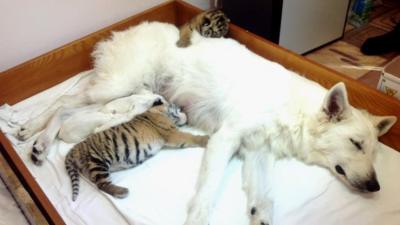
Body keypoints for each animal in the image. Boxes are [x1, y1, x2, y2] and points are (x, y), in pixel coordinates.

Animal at [17, 21, 396, 225]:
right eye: (356, 144)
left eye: (373, 153)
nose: (376, 187)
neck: (292, 108)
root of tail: (125, 31)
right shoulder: (226, 139)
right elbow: (207, 193)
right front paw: (198, 218)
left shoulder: (257, 152)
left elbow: (264, 198)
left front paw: (260, 215)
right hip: (117, 87)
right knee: (64, 103)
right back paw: (33, 134)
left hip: (122, 92)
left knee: (70, 105)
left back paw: (35, 137)